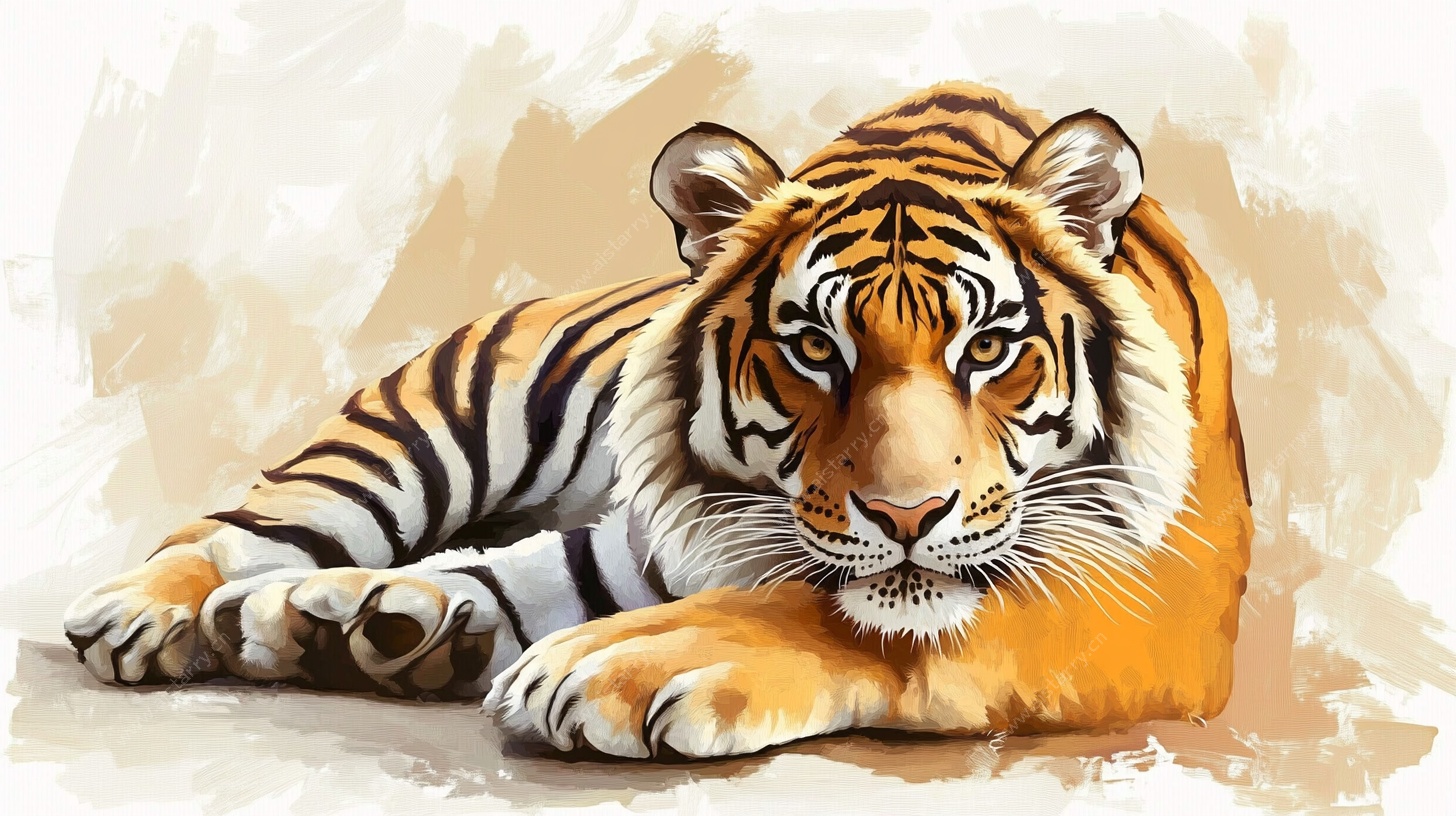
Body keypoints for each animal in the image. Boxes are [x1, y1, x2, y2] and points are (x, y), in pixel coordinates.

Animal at [63, 82, 1252, 760]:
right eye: (814, 348)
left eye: (989, 349)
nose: (907, 515)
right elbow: (827, 602)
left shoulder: (1148, 587)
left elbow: (832, 612)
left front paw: (604, 671)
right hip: (424, 429)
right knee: (246, 528)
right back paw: (166, 611)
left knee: (477, 573)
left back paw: (348, 623)